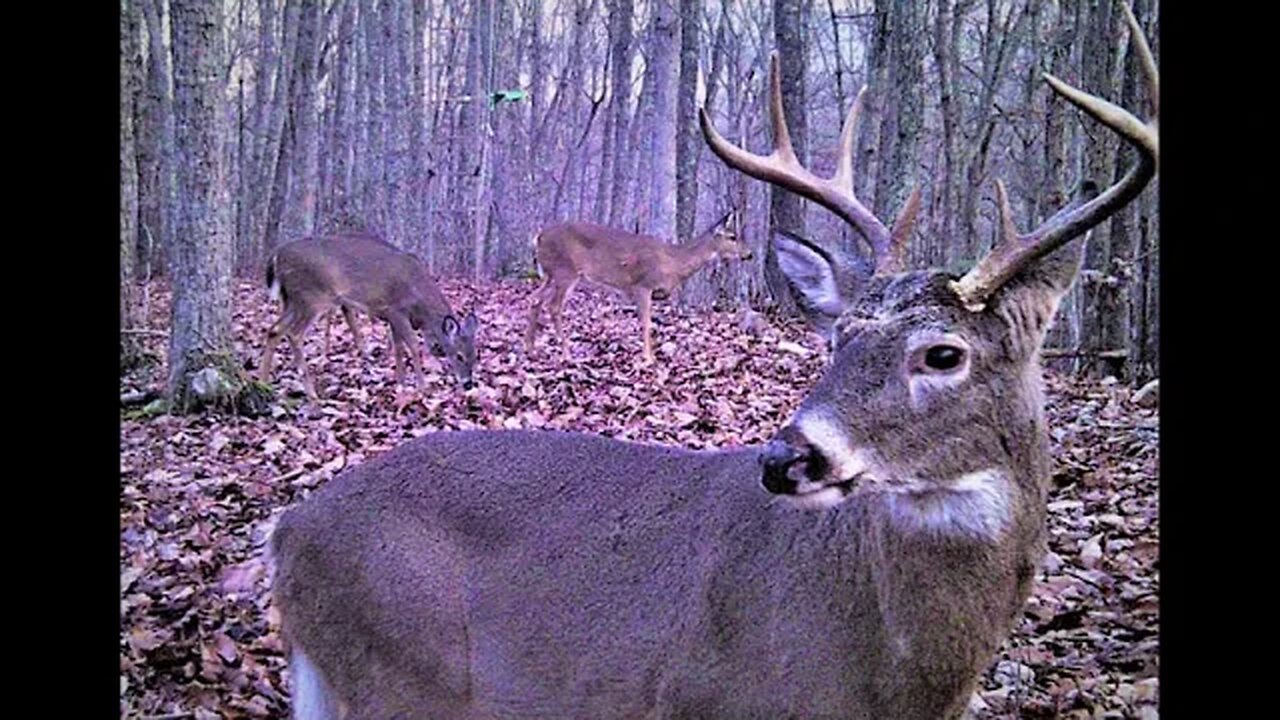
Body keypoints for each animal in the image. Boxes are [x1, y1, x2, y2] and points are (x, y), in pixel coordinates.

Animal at [259, 233, 481, 397]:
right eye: (459, 355)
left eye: (475, 356)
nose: (468, 384)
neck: (420, 298)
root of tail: (276, 255)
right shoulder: (396, 309)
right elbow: (412, 346)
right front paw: (422, 386)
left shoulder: (393, 317)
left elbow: (398, 349)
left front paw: (400, 383)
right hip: (313, 297)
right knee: (294, 334)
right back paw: (312, 396)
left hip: (292, 300)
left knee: (275, 330)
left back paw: (263, 383)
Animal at [524, 210, 752, 361]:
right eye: (732, 237)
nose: (749, 254)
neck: (673, 262)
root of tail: (538, 237)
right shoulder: (642, 285)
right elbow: (646, 322)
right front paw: (648, 358)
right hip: (565, 271)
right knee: (554, 306)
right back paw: (567, 354)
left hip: (550, 274)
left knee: (535, 299)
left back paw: (531, 349)